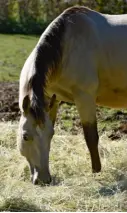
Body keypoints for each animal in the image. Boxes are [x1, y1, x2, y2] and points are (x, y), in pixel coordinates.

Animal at [17, 5, 127, 184]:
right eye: (25, 137)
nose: (43, 179)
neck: (66, 47)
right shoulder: (52, 101)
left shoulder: (85, 98)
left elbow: (91, 137)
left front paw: (96, 172)